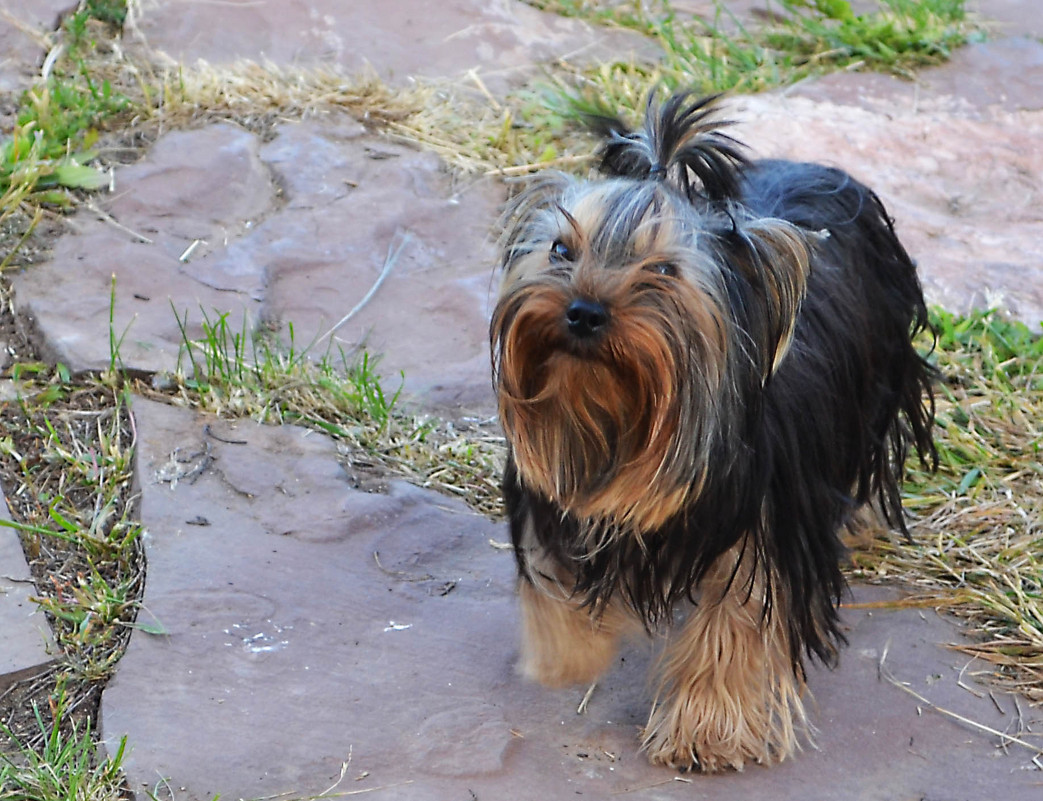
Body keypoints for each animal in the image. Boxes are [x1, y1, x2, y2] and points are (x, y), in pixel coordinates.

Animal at [488, 92, 938, 767]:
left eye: (663, 271)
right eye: (562, 250)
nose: (584, 312)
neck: (620, 414)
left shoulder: (767, 516)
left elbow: (741, 615)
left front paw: (704, 732)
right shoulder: (552, 492)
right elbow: (553, 575)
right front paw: (567, 657)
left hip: (876, 381)